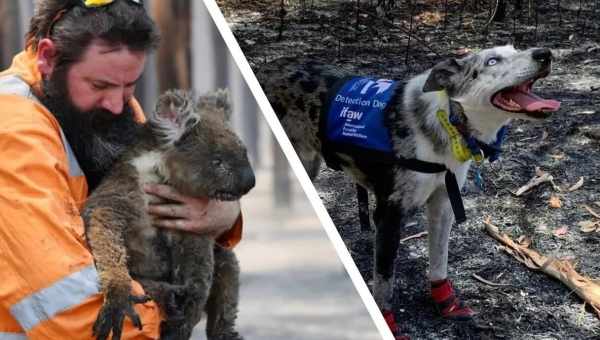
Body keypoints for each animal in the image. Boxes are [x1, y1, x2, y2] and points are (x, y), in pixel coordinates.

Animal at [256, 45, 556, 334]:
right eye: (492, 61)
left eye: (516, 49)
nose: (545, 54)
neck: (447, 122)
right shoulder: (388, 216)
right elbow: (384, 284)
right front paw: (388, 323)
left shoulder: (443, 204)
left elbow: (439, 261)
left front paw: (446, 304)